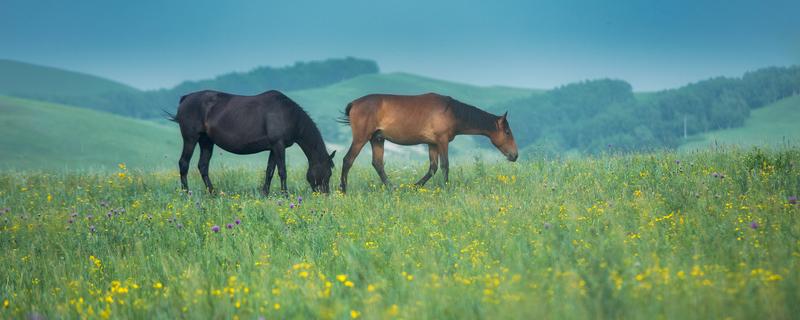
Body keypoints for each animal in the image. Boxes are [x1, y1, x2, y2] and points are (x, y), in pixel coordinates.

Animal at [166, 90, 334, 195]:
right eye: (329, 172)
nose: (325, 195)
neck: (288, 114)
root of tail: (186, 98)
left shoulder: (274, 148)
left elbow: (269, 171)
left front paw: (265, 194)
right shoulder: (279, 145)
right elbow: (282, 171)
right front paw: (285, 195)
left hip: (206, 141)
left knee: (203, 166)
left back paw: (213, 193)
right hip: (191, 139)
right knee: (184, 163)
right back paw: (186, 193)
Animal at [338, 92, 520, 192]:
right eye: (507, 132)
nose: (515, 155)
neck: (451, 111)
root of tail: (354, 103)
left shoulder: (432, 144)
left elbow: (432, 168)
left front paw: (414, 186)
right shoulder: (442, 141)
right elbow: (445, 165)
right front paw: (446, 188)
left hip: (377, 139)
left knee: (378, 164)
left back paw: (392, 188)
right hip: (361, 138)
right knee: (348, 160)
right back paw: (343, 189)